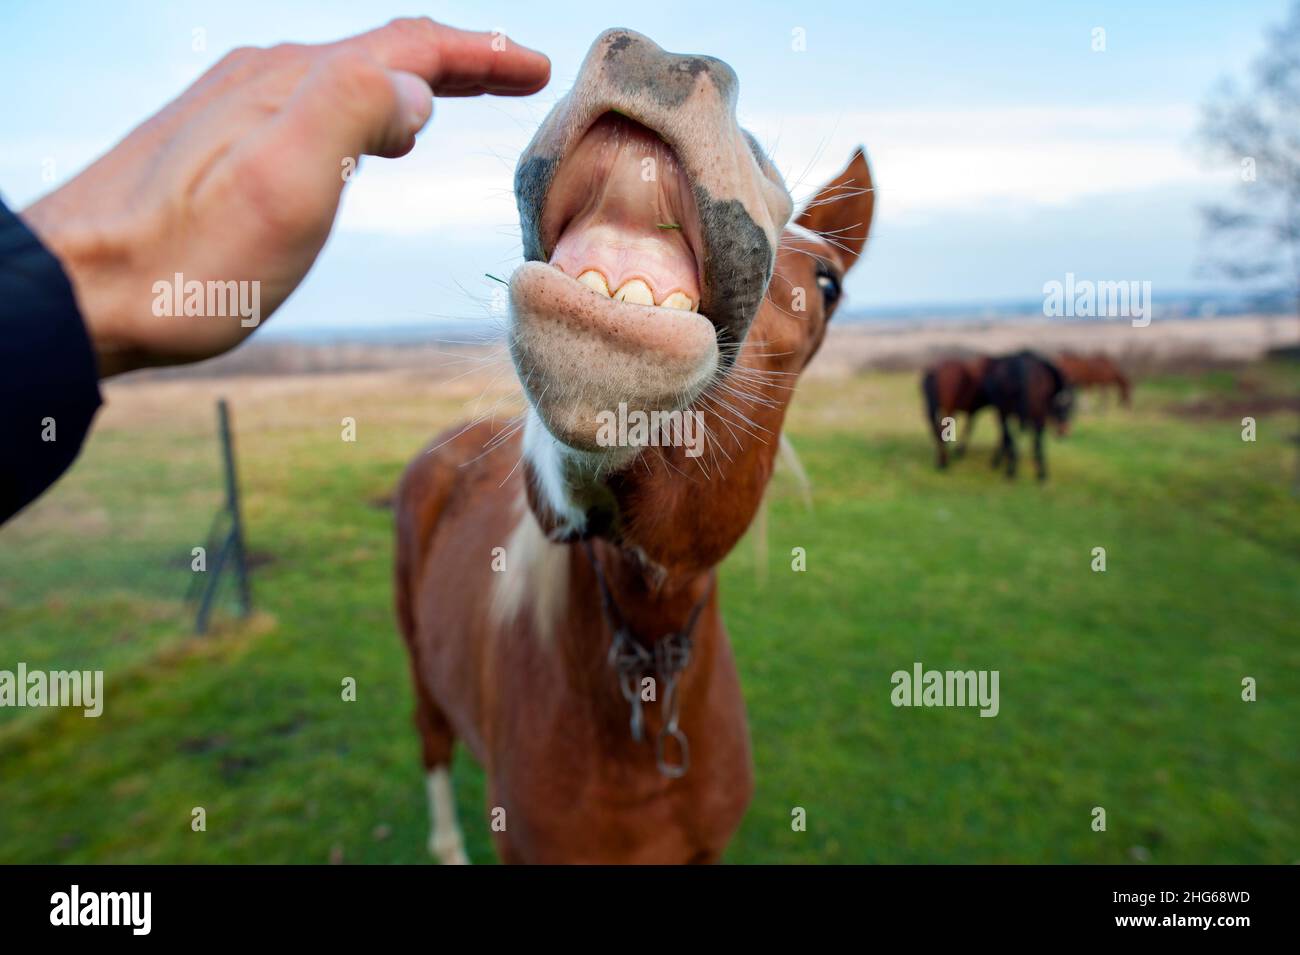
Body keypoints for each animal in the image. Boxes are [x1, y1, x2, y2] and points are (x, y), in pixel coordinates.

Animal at [982, 350, 1076, 480]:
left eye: (1071, 407)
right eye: (1064, 406)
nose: (1065, 431)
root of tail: (1022, 366)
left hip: (1007, 411)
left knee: (1012, 436)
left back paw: (1014, 467)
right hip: (1025, 413)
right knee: (1030, 439)